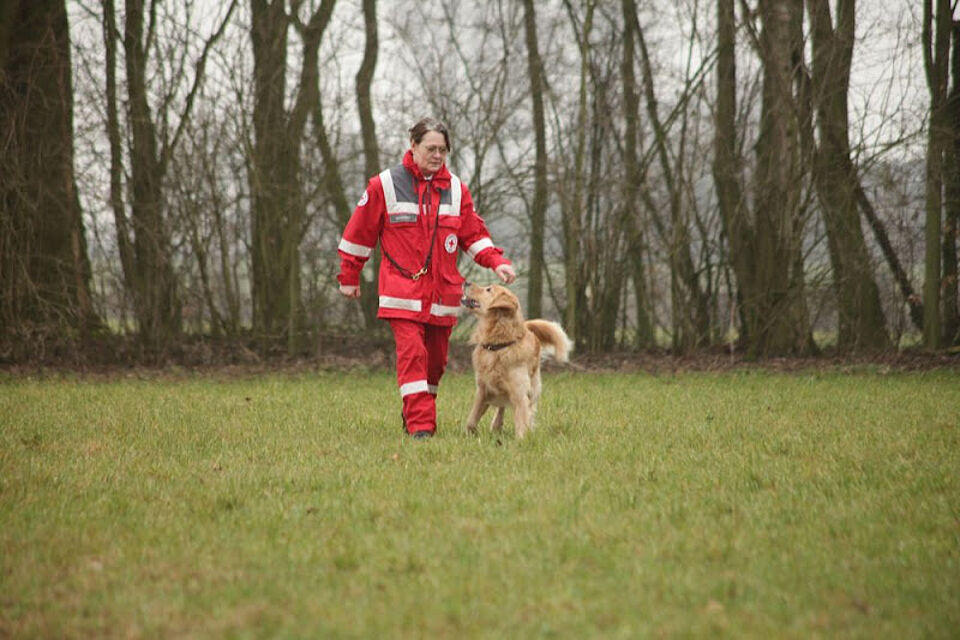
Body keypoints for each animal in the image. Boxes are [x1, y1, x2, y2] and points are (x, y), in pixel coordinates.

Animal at [460, 282, 572, 438]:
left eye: (488, 289)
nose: (466, 282)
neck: (498, 346)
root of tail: (528, 327)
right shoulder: (482, 390)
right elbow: (472, 418)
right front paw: (469, 434)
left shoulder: (520, 394)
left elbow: (521, 422)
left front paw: (522, 440)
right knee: (501, 408)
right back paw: (496, 425)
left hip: (533, 387)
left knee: (528, 409)